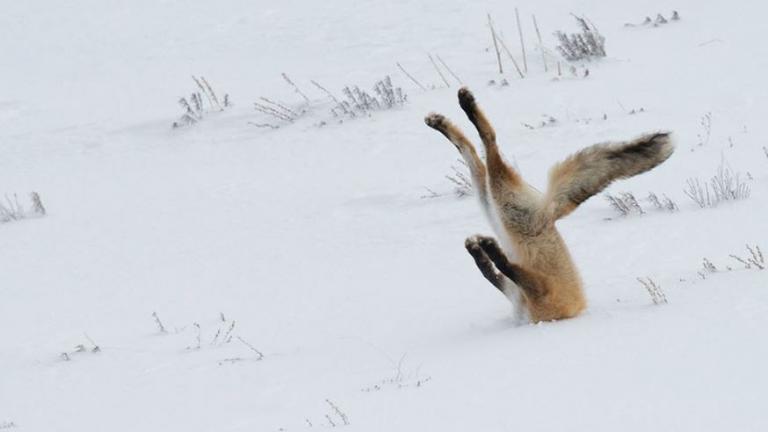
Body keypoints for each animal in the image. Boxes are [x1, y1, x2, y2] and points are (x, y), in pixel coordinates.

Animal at [426, 88, 672, 322]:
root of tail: (549, 212)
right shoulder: (520, 291)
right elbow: (491, 271)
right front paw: (480, 249)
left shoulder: (538, 291)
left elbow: (502, 268)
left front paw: (487, 249)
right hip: (494, 204)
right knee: (473, 152)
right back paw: (443, 120)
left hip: (502, 204)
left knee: (489, 144)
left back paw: (465, 107)